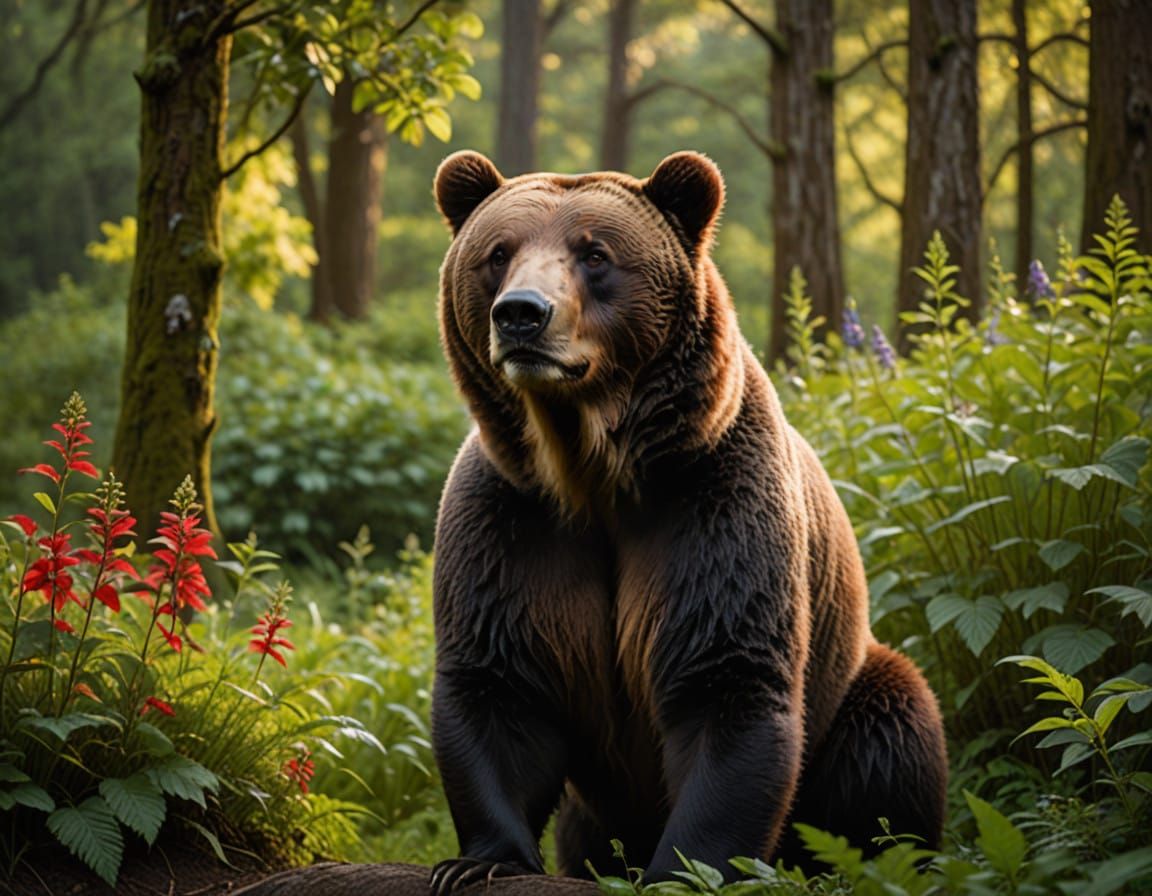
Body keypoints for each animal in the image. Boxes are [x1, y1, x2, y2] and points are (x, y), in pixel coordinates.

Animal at [428, 150, 948, 894]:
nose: (522, 314)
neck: (590, 470)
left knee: (891, 739)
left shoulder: (713, 500)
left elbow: (725, 679)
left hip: (852, 683)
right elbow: (499, 682)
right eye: (497, 253)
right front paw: (478, 861)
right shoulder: (513, 518)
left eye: (594, 253)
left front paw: (683, 870)